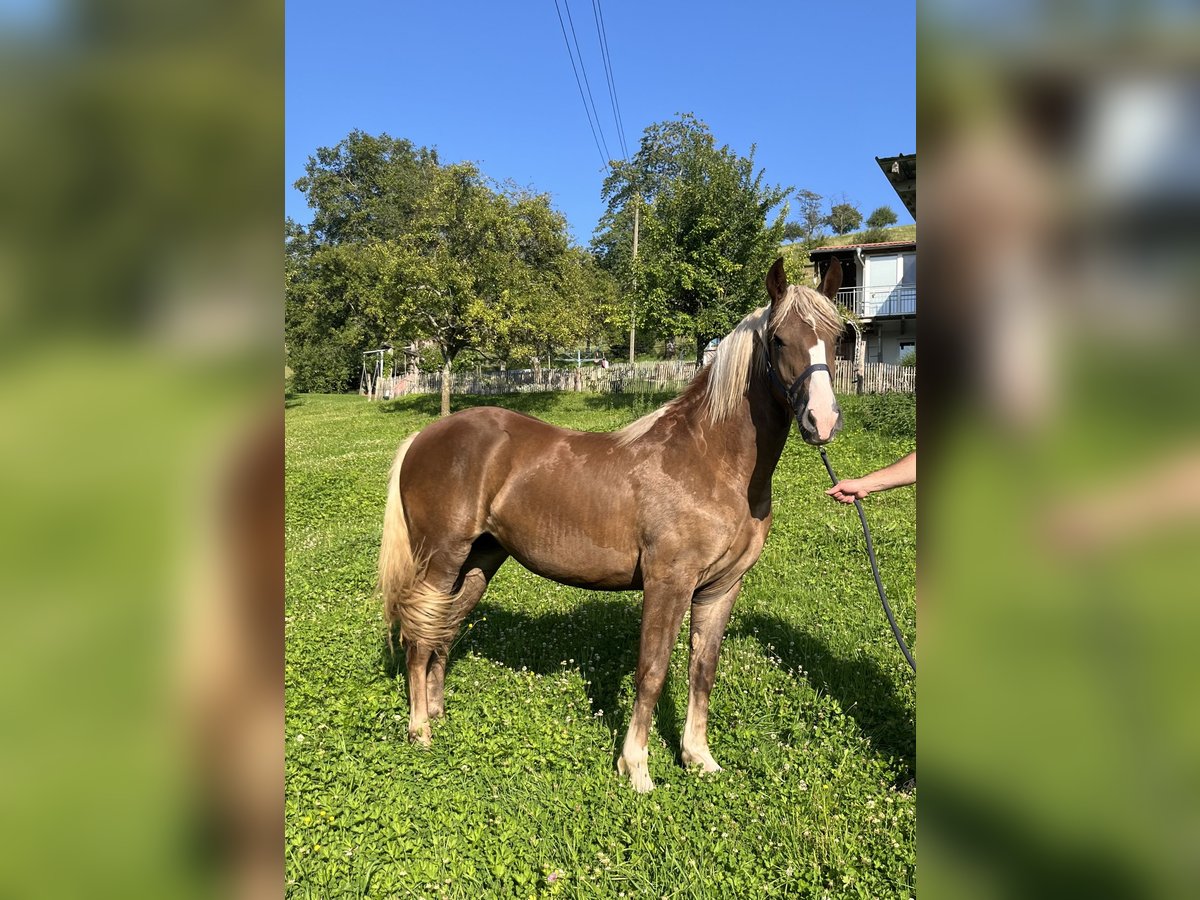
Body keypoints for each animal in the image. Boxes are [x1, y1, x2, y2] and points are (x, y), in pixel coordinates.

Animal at [379, 257, 845, 792]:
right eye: (779, 339)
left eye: (837, 336)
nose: (822, 420)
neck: (710, 460)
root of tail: (425, 435)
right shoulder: (668, 582)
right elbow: (653, 670)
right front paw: (636, 767)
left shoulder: (721, 588)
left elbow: (702, 670)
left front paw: (698, 757)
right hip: (440, 559)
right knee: (419, 634)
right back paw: (419, 730)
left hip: (479, 561)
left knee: (445, 627)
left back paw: (437, 713)